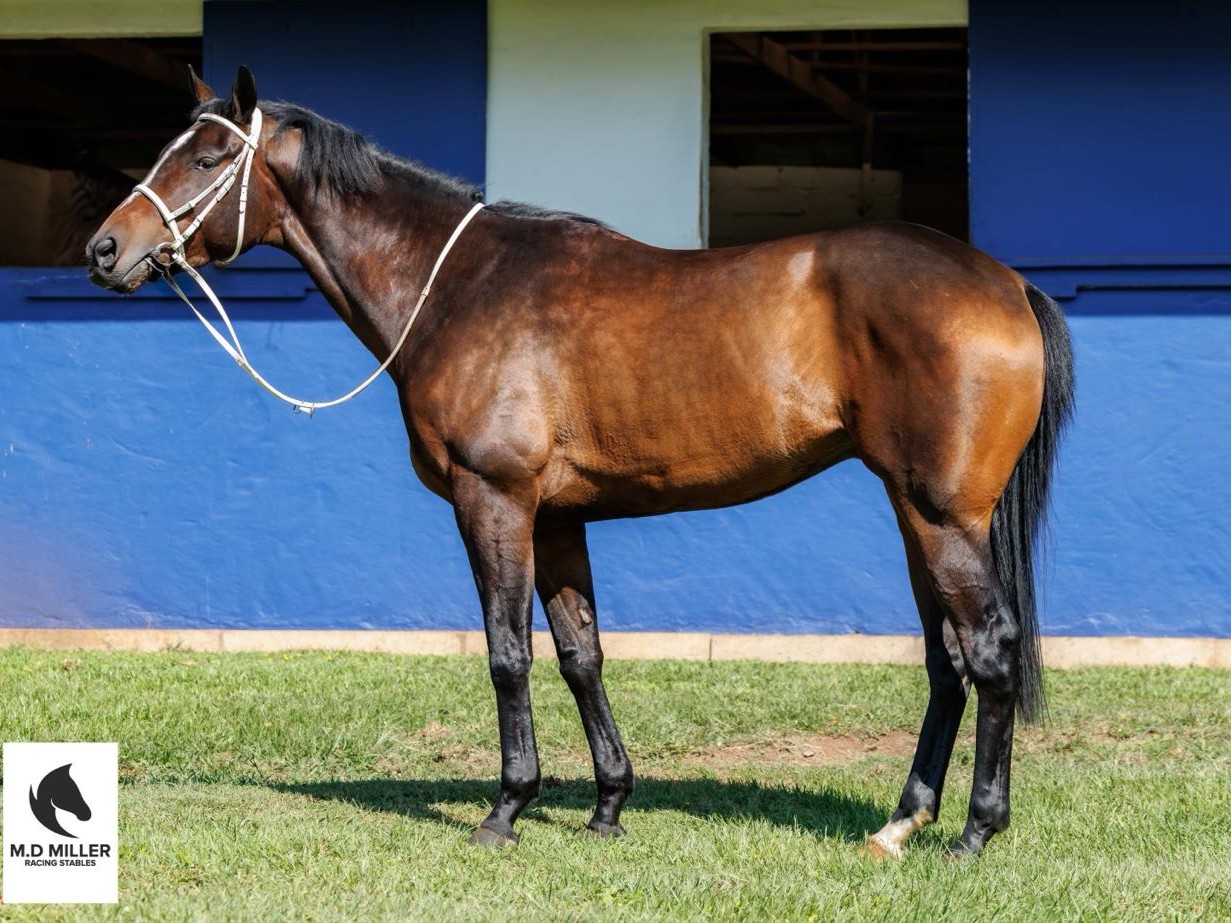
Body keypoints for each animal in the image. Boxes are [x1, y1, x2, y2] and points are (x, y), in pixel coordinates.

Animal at [86, 65, 1073, 858]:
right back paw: (901, 822)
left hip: (942, 516)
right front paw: (606, 805)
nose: (105, 248)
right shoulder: (559, 519)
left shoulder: (494, 502)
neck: (459, 286)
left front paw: (505, 809)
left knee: (987, 648)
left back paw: (976, 830)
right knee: (945, 660)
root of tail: (1004, 282)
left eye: (208, 158)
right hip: (912, 514)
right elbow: (579, 654)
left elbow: (507, 654)